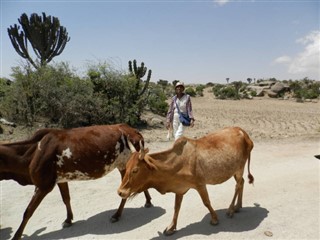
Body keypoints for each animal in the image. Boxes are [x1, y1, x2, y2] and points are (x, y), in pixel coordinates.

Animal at [0, 124, 152, 240]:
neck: (32, 152)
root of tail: (133, 130)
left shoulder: (43, 186)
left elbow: (28, 211)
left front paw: (17, 235)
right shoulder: (61, 180)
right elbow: (66, 199)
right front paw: (68, 219)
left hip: (124, 166)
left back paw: (117, 215)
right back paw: (148, 201)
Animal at [118, 126, 255, 235]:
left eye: (135, 170)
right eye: (126, 166)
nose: (120, 192)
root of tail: (243, 132)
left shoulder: (200, 184)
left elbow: (206, 202)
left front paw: (214, 219)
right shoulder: (179, 188)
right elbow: (176, 207)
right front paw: (171, 227)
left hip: (240, 168)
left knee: (238, 185)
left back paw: (231, 209)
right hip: (235, 170)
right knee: (242, 182)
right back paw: (238, 206)